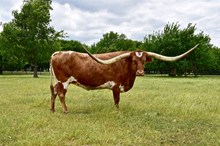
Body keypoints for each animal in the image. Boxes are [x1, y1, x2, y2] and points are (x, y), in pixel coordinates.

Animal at [49, 44, 198, 113]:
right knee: (61, 94)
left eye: (144, 60)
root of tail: (58, 52)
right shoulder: (115, 86)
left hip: (58, 81)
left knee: (54, 92)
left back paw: (52, 109)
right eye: (134, 60)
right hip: (64, 81)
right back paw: (66, 110)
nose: (140, 72)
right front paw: (117, 112)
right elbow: (116, 101)